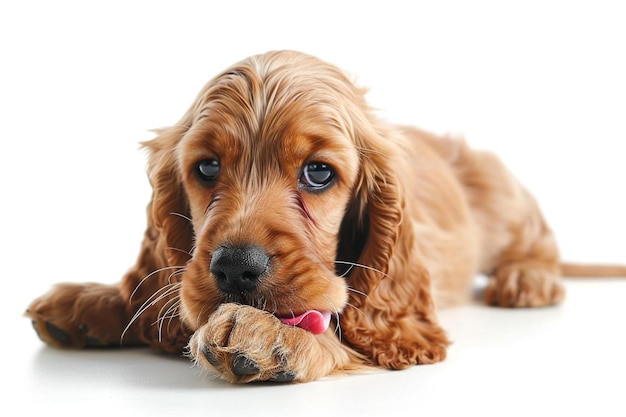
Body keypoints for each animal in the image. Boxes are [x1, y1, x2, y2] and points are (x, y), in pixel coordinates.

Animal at [25, 49, 624, 384]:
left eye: (318, 173)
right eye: (207, 167)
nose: (234, 268)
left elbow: (344, 326)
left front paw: (268, 337)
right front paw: (95, 301)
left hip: (500, 193)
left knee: (538, 240)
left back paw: (528, 278)